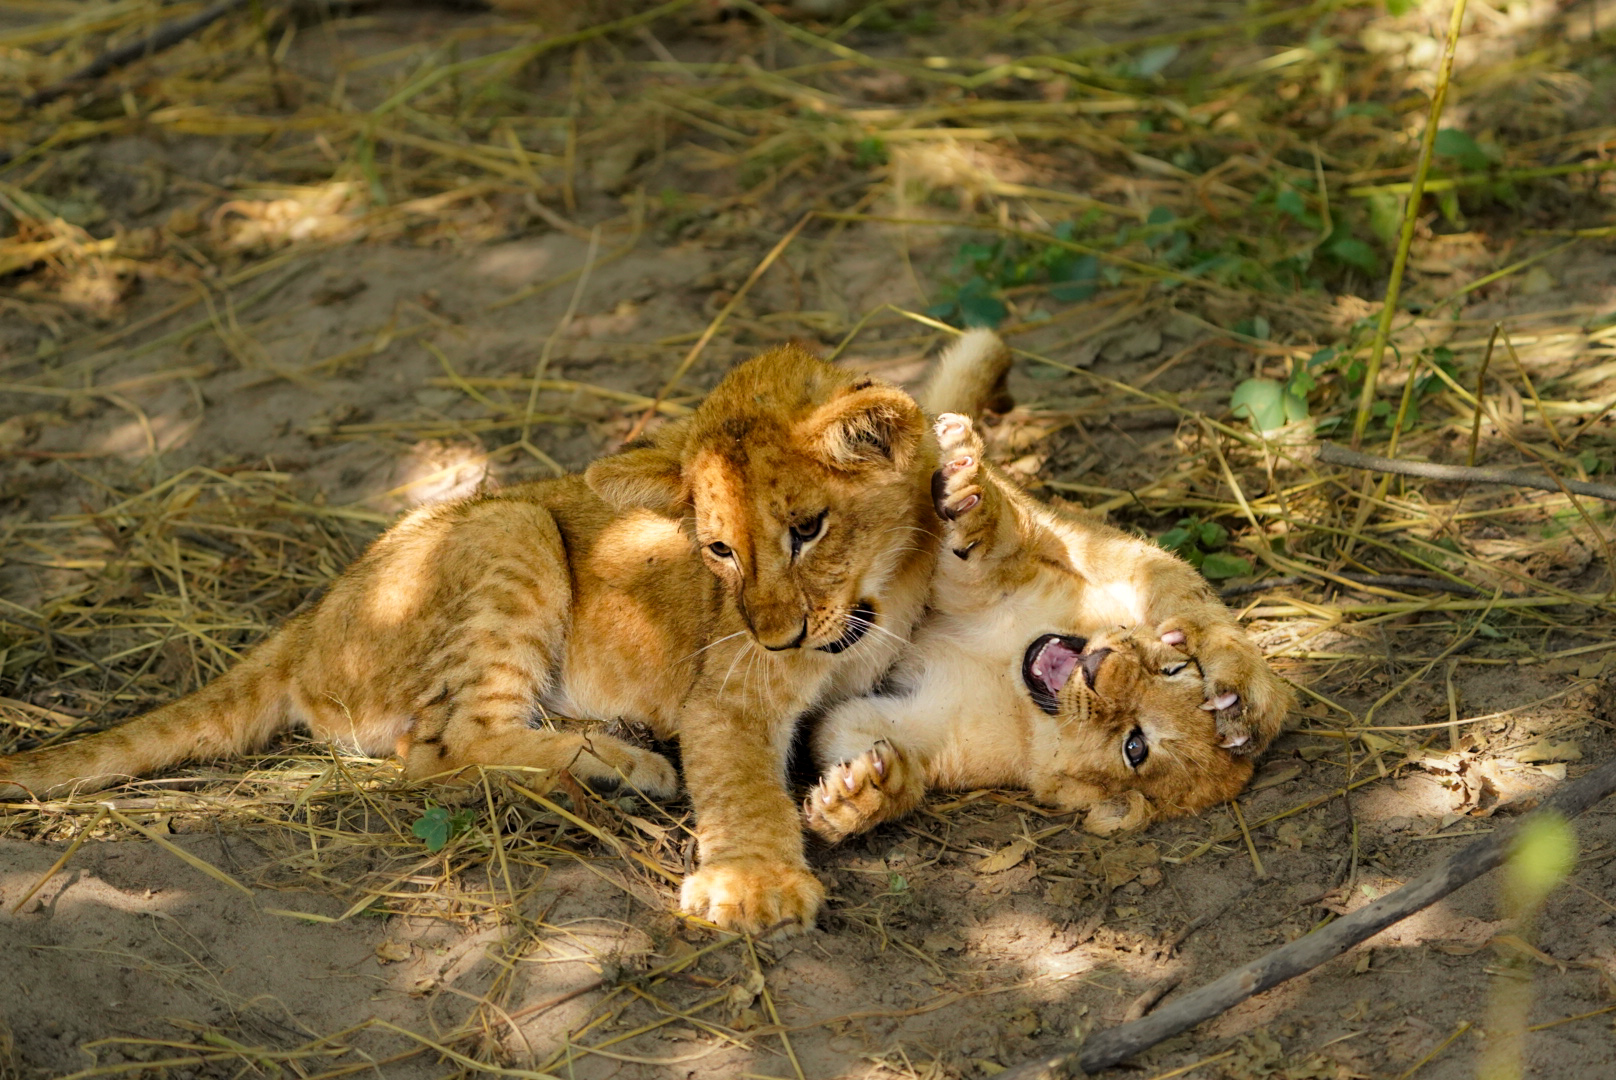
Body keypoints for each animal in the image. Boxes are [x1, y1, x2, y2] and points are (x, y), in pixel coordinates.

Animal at [0, 332, 1012, 936]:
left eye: (808, 528)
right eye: (719, 549)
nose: (774, 637)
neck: (877, 598)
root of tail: (309, 618)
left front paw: (867, 793)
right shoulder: (723, 694)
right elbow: (739, 783)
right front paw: (757, 886)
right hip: (510, 527)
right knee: (437, 749)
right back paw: (627, 763)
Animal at [805, 409, 1293, 842]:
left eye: (1135, 748)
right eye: (1173, 670)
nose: (1098, 667)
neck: (1010, 676)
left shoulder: (927, 729)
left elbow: (846, 731)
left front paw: (862, 796)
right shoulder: (1005, 583)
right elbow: (989, 551)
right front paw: (968, 490)